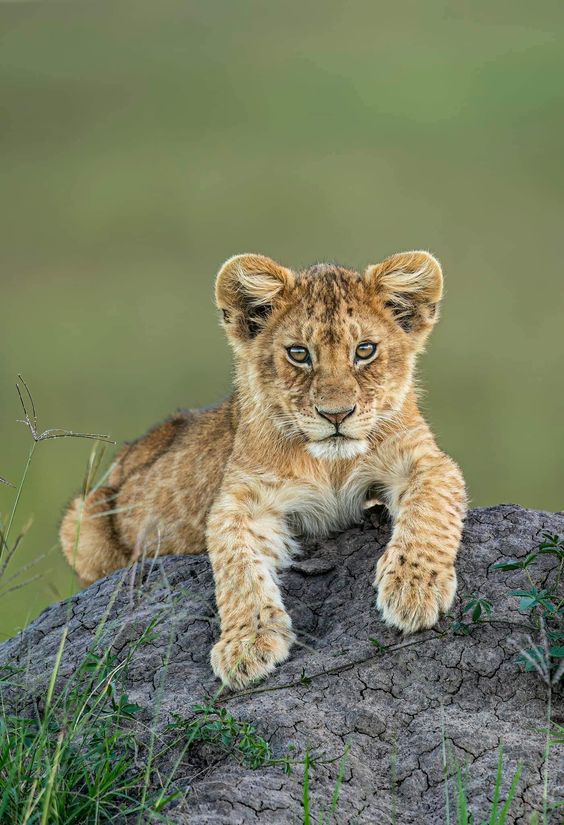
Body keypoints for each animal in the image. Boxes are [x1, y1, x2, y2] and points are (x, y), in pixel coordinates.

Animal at [60, 251, 467, 689]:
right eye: (299, 353)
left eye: (365, 350)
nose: (336, 414)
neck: (331, 465)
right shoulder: (241, 499)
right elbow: (238, 567)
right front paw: (247, 644)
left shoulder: (423, 460)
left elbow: (429, 509)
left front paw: (413, 588)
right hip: (81, 520)